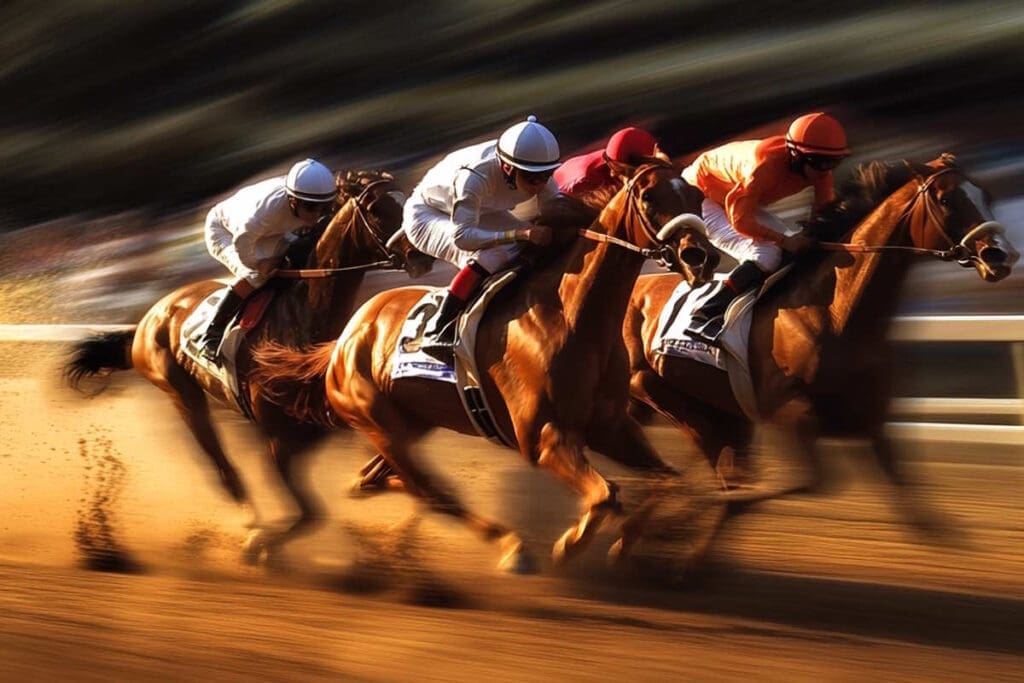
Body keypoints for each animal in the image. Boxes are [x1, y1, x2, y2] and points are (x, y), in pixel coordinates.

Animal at [66, 167, 428, 557]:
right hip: (182, 394)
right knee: (225, 471)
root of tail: (149, 317)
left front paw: (377, 494)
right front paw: (262, 546)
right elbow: (309, 514)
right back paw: (252, 527)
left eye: (406, 199)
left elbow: (393, 461)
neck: (302, 317)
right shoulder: (280, 440)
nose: (418, 254)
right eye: (377, 209)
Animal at [251, 162, 716, 573]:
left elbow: (669, 480)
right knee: (432, 492)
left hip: (411, 423)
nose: (699, 257)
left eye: (696, 195)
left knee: (378, 481)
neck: (569, 317)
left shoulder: (610, 426)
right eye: (649, 197)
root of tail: (342, 341)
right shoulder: (543, 440)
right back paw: (512, 548)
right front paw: (569, 544)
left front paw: (626, 543)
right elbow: (605, 494)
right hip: (379, 424)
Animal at [622, 153, 1015, 528]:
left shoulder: (871, 424)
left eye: (985, 195)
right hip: (651, 391)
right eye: (947, 200)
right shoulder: (785, 415)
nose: (1002, 254)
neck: (835, 314)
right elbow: (788, 487)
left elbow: (927, 521)